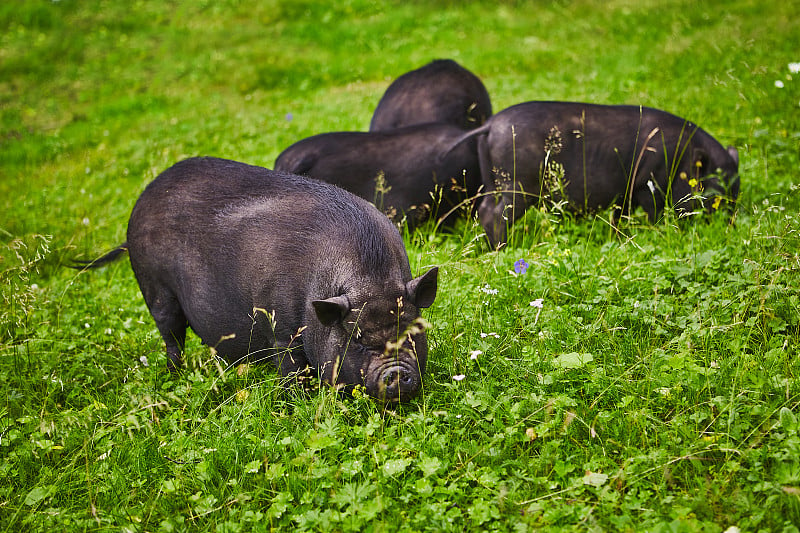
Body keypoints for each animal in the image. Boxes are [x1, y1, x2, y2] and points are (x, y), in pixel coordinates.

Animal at [75, 158, 438, 404]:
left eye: (412, 331)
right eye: (357, 340)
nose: (397, 372)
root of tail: (143, 197)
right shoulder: (280, 327)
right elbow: (291, 368)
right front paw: (294, 402)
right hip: (155, 287)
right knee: (171, 335)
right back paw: (176, 373)